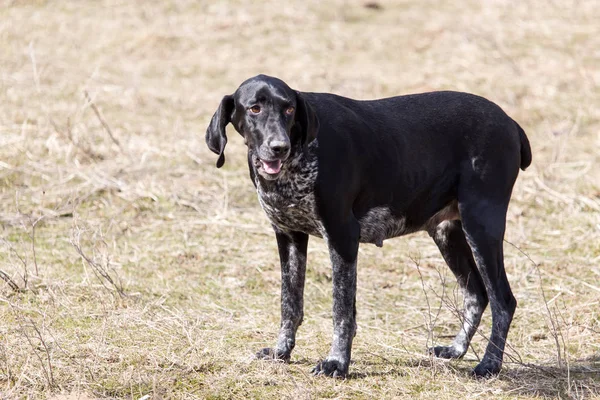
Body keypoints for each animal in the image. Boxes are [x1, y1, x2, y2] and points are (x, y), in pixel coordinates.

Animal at [205, 75, 528, 378]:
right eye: (255, 109)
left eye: (288, 109)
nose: (279, 147)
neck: (298, 158)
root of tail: (511, 123)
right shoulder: (289, 237)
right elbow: (291, 303)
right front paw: (282, 352)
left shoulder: (342, 237)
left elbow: (341, 311)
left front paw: (336, 363)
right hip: (447, 233)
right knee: (476, 294)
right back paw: (457, 350)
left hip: (481, 226)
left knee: (503, 301)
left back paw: (489, 364)